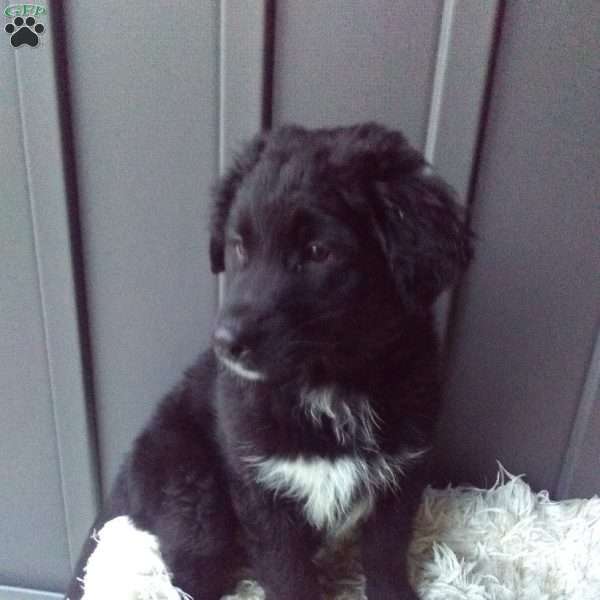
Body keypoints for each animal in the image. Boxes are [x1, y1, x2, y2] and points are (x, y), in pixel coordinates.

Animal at [65, 123, 474, 600]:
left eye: (318, 251)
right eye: (239, 247)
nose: (224, 342)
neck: (329, 386)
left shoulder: (401, 475)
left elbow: (385, 554)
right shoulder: (262, 490)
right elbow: (287, 572)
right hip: (193, 493)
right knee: (190, 572)